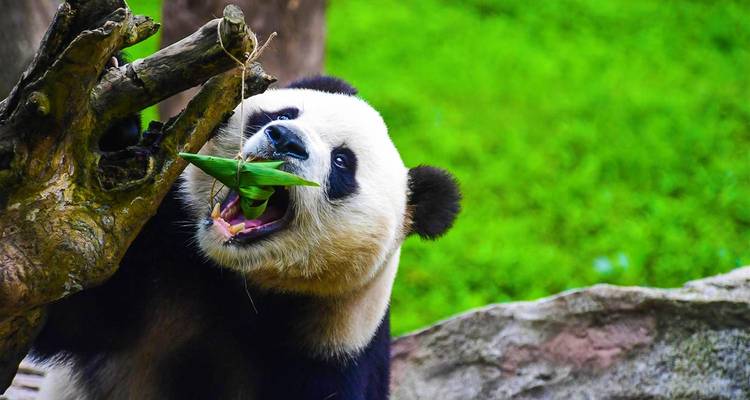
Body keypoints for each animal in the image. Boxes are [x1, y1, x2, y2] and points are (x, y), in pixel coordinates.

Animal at [30, 76, 461, 400]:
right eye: (283, 114)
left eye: (342, 162)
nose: (285, 138)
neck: (238, 284)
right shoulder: (159, 261)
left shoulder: (333, 350)